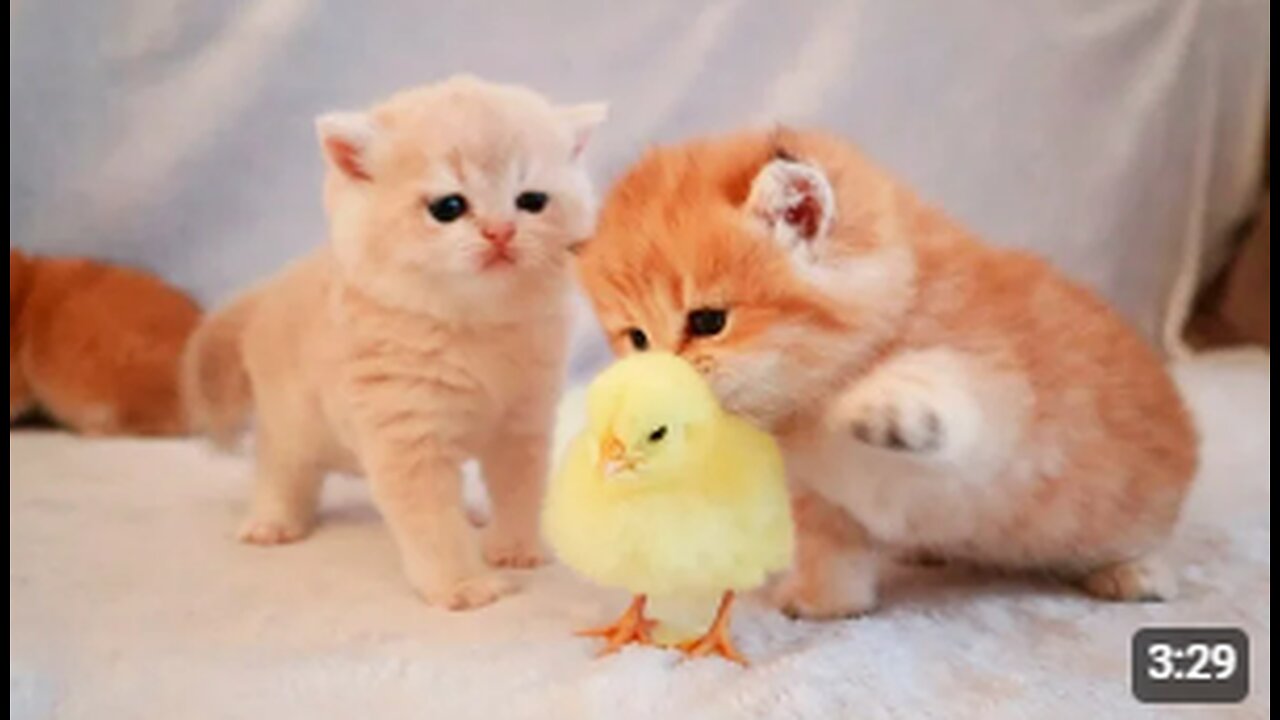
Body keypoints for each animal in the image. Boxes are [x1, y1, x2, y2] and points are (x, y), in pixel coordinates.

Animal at [185, 75, 609, 607]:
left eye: (531, 201)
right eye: (449, 207)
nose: (501, 232)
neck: (474, 327)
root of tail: (272, 288)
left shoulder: (523, 423)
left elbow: (520, 492)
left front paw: (516, 549)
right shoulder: (408, 436)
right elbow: (432, 523)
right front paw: (462, 585)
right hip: (292, 423)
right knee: (280, 468)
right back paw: (272, 521)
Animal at [581, 128, 1198, 617]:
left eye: (709, 321)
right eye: (637, 339)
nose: (653, 388)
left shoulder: (1003, 401)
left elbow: (946, 382)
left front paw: (879, 403)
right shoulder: (817, 498)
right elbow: (831, 549)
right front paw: (824, 602)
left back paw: (1136, 573)